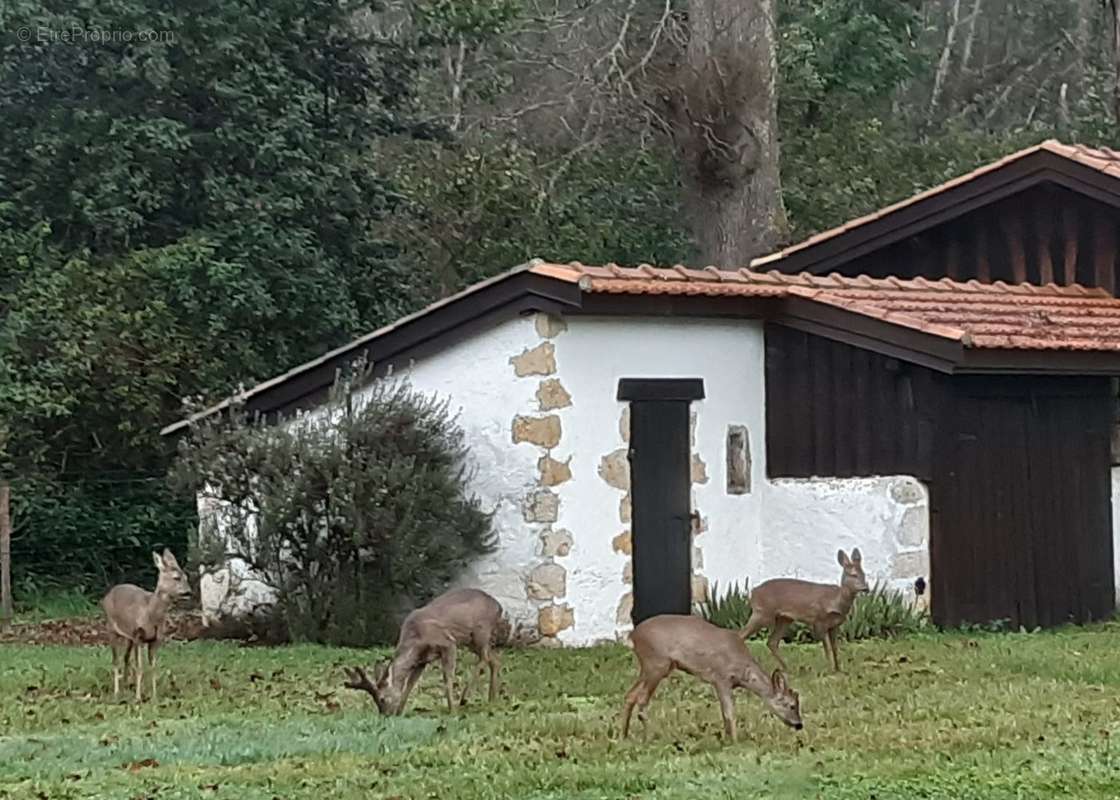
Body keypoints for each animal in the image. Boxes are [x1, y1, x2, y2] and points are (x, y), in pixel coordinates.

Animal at [100, 544, 192, 699]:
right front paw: (138, 697)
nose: (189, 592)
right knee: (116, 660)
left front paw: (154, 696)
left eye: (186, 577)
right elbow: (140, 667)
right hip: (111, 628)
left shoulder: (155, 639)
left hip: (128, 636)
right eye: (176, 578)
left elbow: (153, 667)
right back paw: (117, 692)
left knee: (125, 658)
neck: (151, 613)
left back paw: (126, 686)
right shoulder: (139, 635)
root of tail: (108, 595)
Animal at [336, 582, 504, 712]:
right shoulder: (421, 660)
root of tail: (499, 607)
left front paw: (452, 709)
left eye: (382, 699)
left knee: (485, 657)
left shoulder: (448, 642)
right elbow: (410, 684)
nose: (385, 715)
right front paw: (400, 712)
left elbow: (447, 677)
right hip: (472, 640)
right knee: (495, 660)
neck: (416, 638)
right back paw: (492, 699)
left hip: (480, 631)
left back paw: (465, 697)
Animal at [622, 609, 806, 739]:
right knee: (641, 699)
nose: (799, 725)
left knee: (630, 695)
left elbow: (725, 714)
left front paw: (726, 739)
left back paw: (623, 736)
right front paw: (734, 742)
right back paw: (647, 738)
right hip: (656, 663)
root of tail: (633, 635)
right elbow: (730, 713)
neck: (742, 671)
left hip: (654, 667)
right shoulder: (721, 678)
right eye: (791, 705)